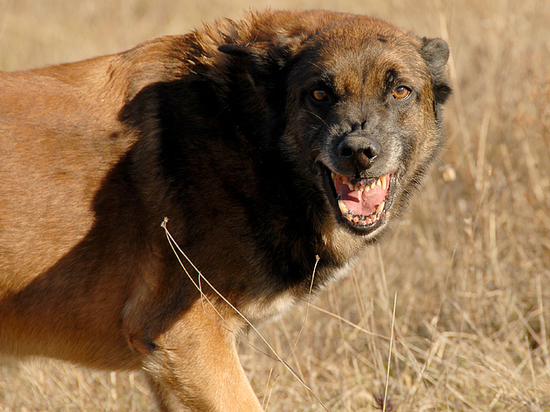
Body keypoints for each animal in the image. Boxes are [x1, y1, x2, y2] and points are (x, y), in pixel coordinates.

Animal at [0, 9, 450, 412]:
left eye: (400, 91)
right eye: (320, 94)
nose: (358, 152)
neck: (242, 131)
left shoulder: (168, 366)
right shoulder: (188, 339)